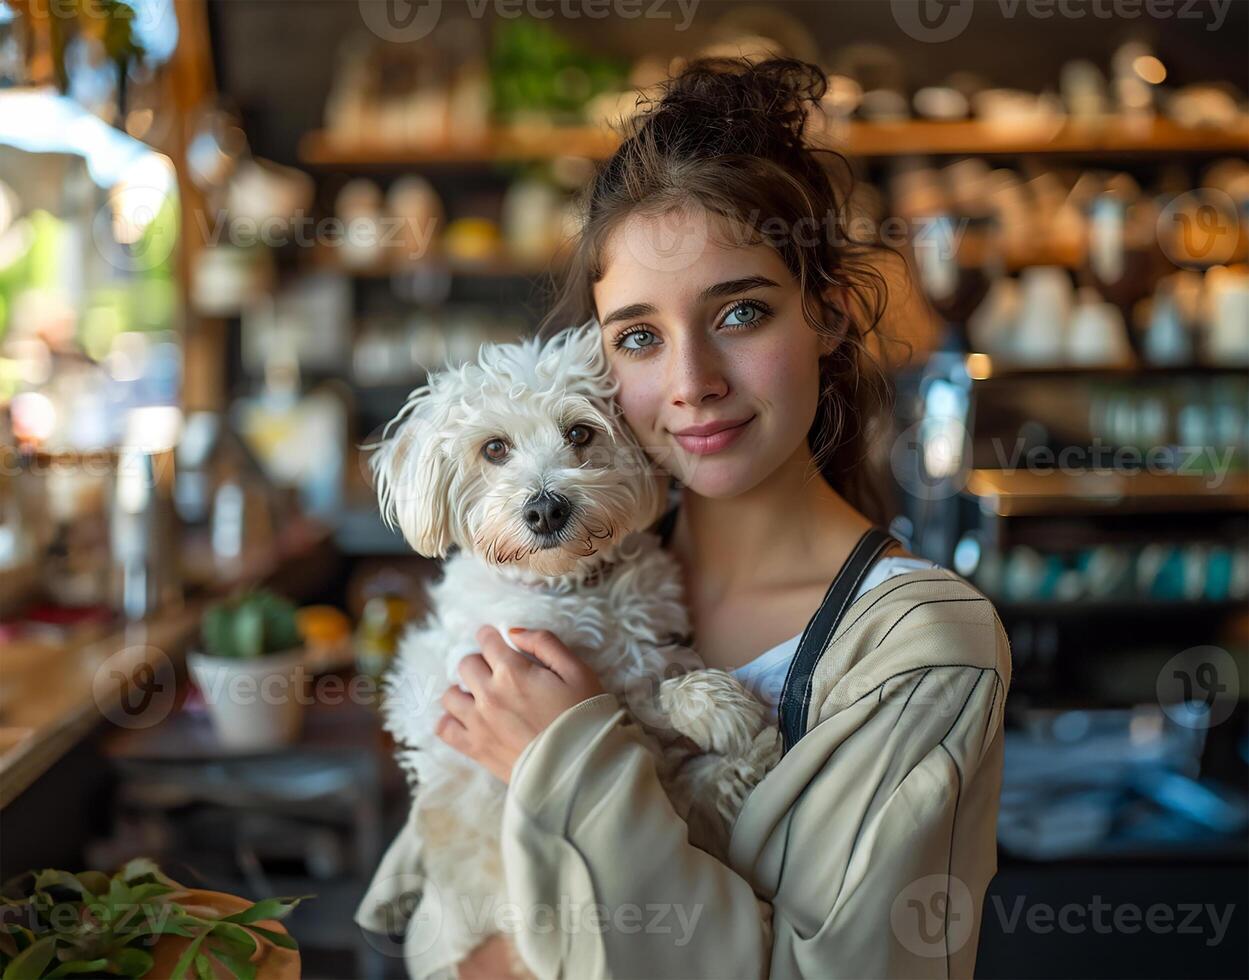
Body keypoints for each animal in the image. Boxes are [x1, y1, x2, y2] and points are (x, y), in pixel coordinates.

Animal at [357, 322, 774, 978]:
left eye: (580, 433)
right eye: (494, 449)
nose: (546, 507)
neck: (569, 588)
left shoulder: (644, 645)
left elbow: (655, 680)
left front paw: (713, 703)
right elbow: (622, 710)